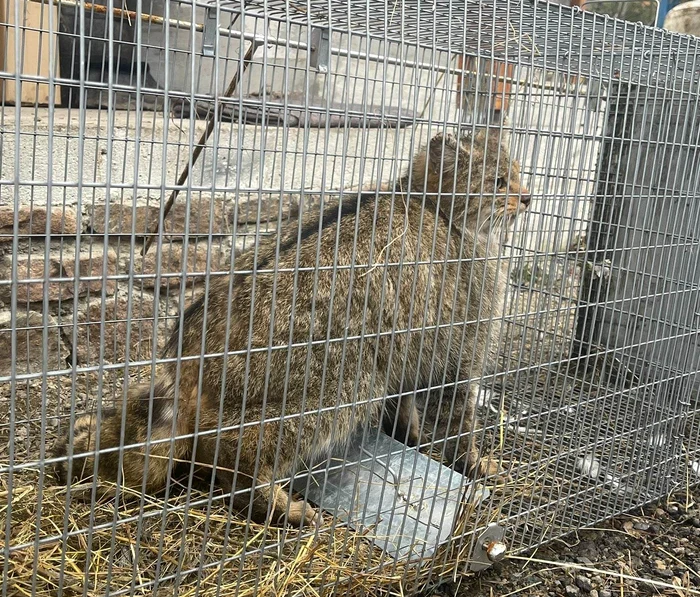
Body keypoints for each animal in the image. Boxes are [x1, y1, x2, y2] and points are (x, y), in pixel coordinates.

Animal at [53, 129, 532, 528]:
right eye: (499, 182)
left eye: (519, 175)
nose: (528, 198)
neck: (434, 207)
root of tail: (183, 362)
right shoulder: (457, 352)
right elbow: (458, 422)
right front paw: (470, 462)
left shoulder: (411, 350)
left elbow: (405, 411)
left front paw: (410, 438)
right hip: (342, 382)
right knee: (234, 460)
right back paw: (276, 505)